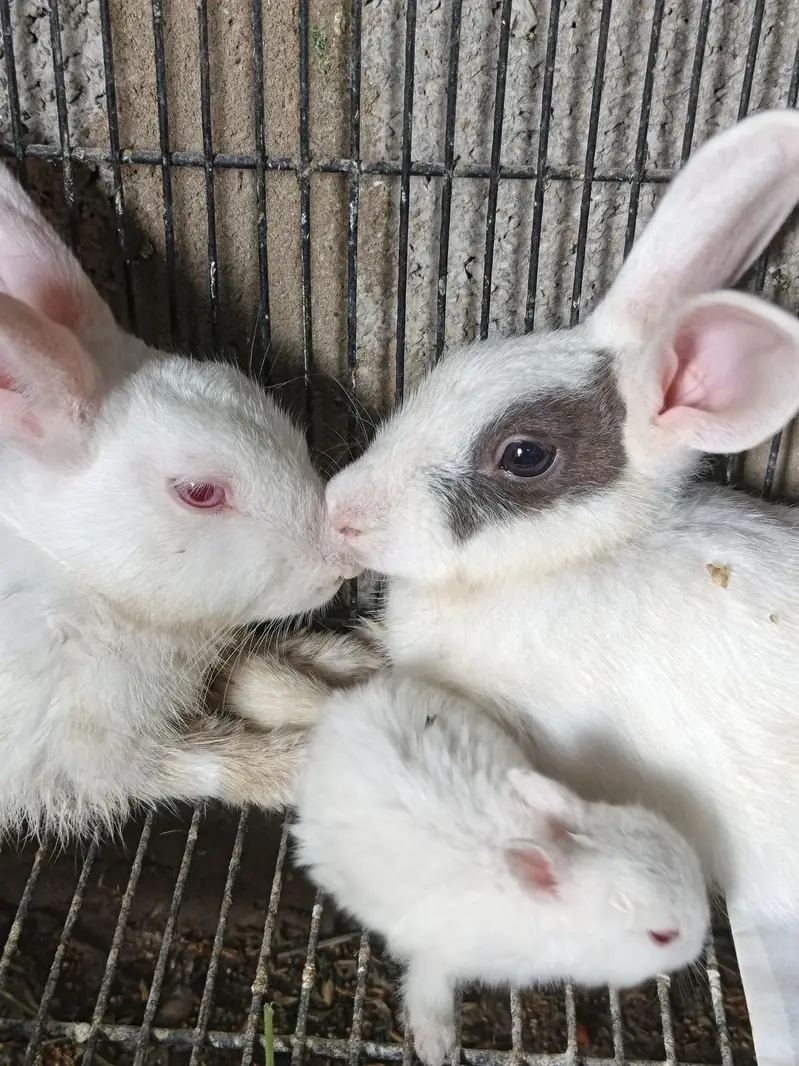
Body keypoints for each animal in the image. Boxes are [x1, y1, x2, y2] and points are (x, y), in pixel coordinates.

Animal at [0, 161, 360, 841]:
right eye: (200, 493)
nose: (342, 564)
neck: (77, 579)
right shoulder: (90, 753)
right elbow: (210, 760)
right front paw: (306, 757)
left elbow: (259, 676)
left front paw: (339, 670)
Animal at [293, 672, 710, 1066]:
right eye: (662, 936)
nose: (700, 942)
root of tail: (337, 709)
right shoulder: (439, 951)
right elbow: (428, 990)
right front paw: (435, 1047)